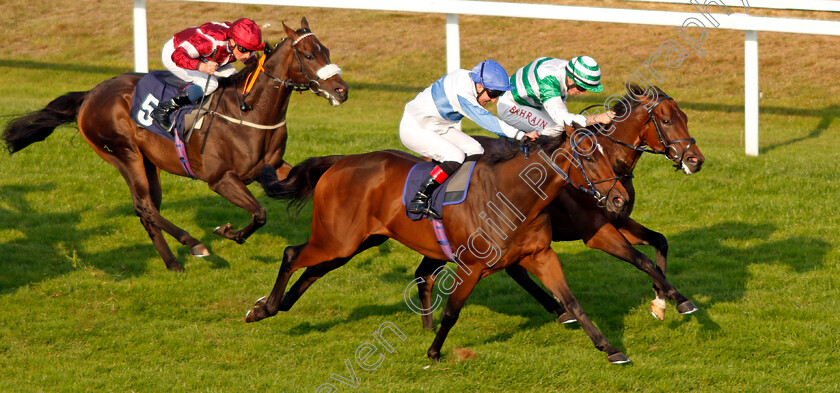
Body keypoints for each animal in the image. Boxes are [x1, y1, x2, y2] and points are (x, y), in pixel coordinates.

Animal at [1, 17, 346, 270]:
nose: (342, 91)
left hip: (147, 162)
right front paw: (228, 233)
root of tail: (91, 94)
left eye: (327, 51)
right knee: (144, 206)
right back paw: (194, 244)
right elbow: (260, 213)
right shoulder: (220, 179)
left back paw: (172, 263)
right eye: (309, 55)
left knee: (148, 209)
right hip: (124, 154)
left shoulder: (273, 166)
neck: (248, 109)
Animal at [249, 129, 636, 364]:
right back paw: (265, 307)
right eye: (589, 158)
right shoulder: (471, 266)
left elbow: (571, 302)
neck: (514, 196)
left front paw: (611, 349)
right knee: (292, 254)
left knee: (313, 270)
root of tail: (340, 161)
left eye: (609, 154)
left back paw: (273, 305)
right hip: (336, 239)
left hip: (355, 242)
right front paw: (434, 352)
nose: (619, 199)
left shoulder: (540, 255)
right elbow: (452, 310)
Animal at [416, 86, 704, 330]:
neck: (609, 162)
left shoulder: (619, 220)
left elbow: (660, 241)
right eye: (666, 121)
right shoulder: (597, 233)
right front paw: (679, 300)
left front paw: (663, 302)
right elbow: (642, 260)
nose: (696, 160)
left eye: (685, 117)